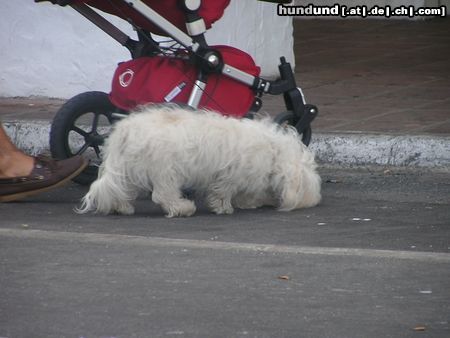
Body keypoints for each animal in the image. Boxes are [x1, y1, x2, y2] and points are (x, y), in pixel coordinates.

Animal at [79, 104, 322, 218]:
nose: (314, 202)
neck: (274, 149)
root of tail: (124, 131)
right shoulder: (230, 175)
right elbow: (223, 192)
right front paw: (225, 208)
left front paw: (248, 202)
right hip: (164, 170)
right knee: (162, 195)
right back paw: (182, 208)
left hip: (128, 170)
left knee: (119, 190)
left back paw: (122, 207)